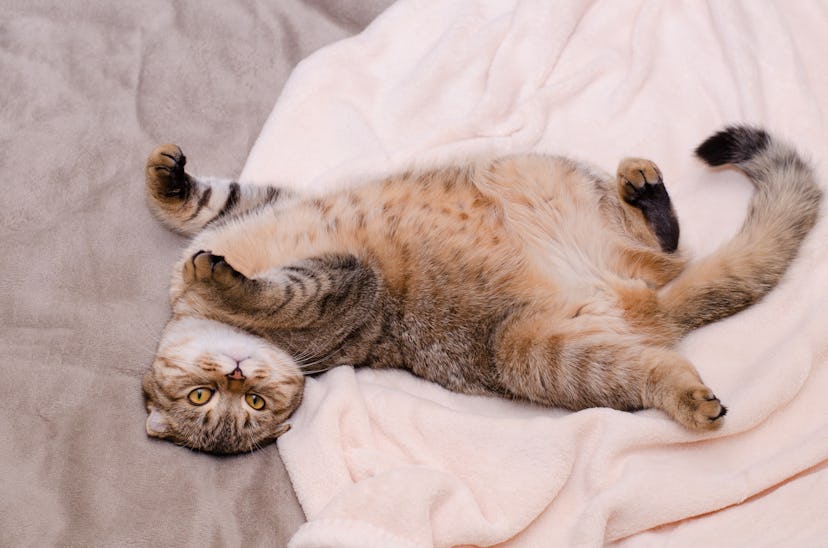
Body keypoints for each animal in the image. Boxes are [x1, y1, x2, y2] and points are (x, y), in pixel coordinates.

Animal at [142, 127, 820, 454]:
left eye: (250, 401)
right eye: (206, 399)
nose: (236, 375)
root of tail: (639, 301)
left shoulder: (272, 213)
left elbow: (208, 205)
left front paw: (167, 179)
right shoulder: (349, 287)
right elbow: (272, 291)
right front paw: (219, 277)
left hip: (529, 172)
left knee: (668, 248)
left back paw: (644, 191)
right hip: (539, 353)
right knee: (657, 361)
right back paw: (691, 397)